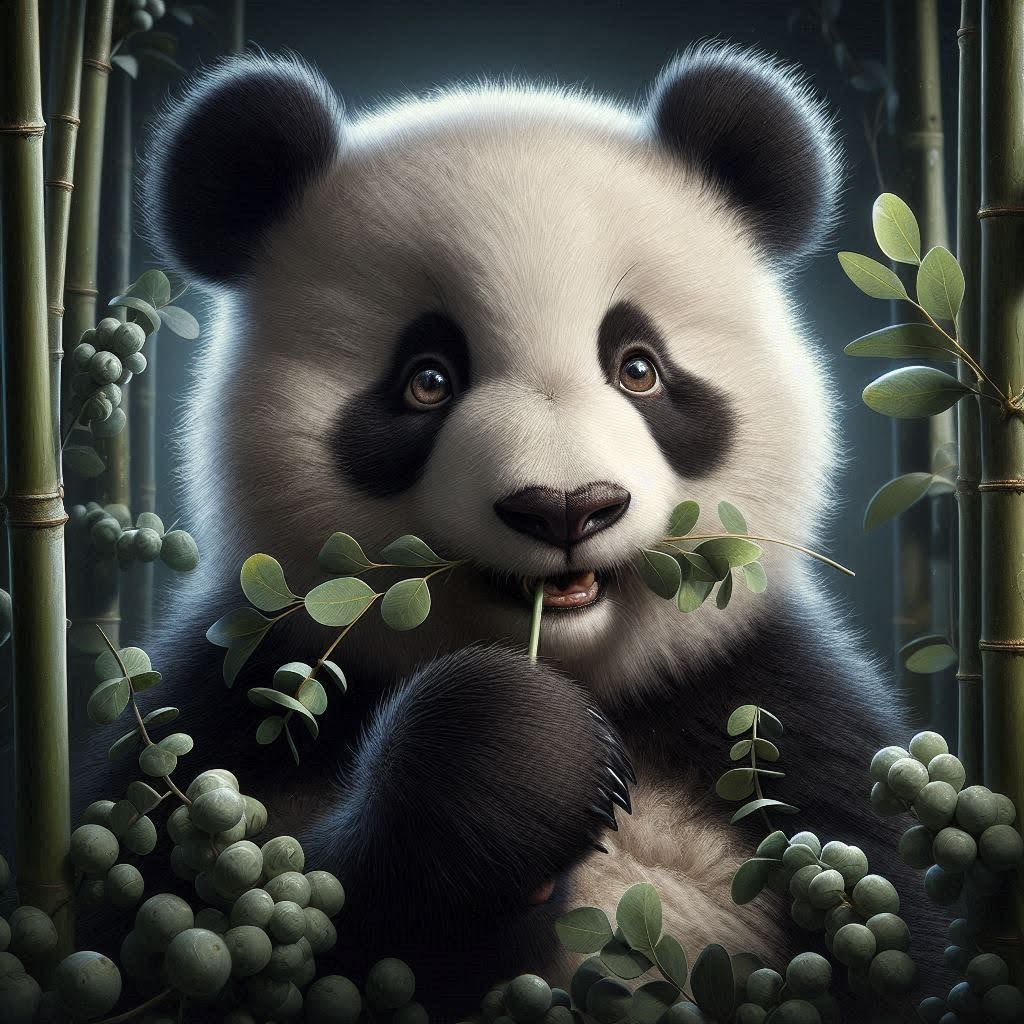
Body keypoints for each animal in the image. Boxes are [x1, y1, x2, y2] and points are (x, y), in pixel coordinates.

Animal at [123, 42, 947, 1018]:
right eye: (427, 379)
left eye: (638, 367)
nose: (565, 507)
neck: (579, 671)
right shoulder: (226, 713)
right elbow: (256, 914)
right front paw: (518, 754)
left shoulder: (785, 730)